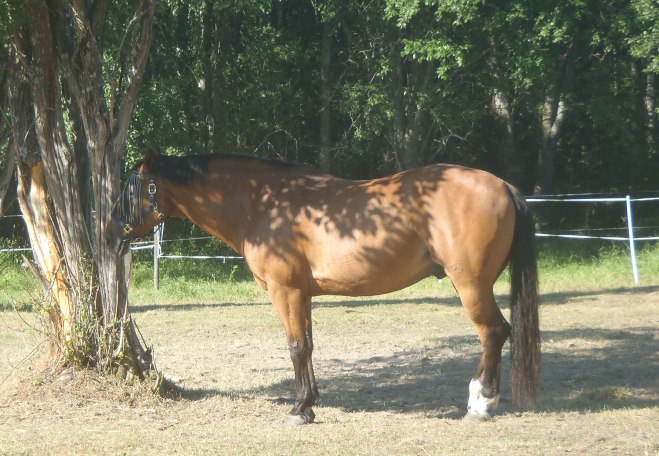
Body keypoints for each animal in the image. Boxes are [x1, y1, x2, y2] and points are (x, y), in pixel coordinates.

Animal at [106, 151, 540, 424]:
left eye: (131, 190)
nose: (109, 234)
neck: (261, 203)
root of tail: (502, 184)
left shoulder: (285, 291)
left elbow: (296, 347)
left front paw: (299, 410)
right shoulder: (304, 294)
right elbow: (309, 347)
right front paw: (310, 404)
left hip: (471, 285)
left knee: (493, 332)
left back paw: (481, 405)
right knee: (494, 334)